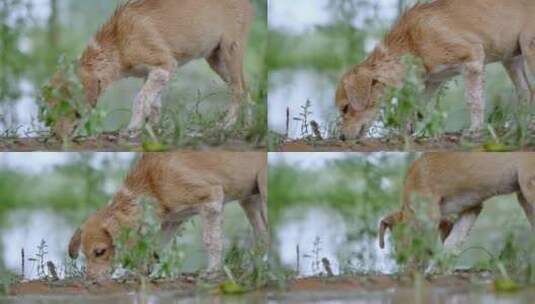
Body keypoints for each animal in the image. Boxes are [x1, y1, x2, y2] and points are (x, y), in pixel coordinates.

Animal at [67, 152, 268, 280]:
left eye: (99, 252)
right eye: (84, 254)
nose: (90, 280)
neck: (151, 184)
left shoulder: (211, 200)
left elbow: (211, 241)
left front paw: (212, 271)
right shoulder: (172, 220)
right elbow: (155, 248)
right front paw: (144, 272)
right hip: (249, 201)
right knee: (264, 237)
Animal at [76, 0, 256, 135]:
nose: (66, 137)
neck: (118, 43)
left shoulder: (166, 64)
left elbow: (140, 99)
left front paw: (133, 127)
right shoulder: (151, 73)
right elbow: (154, 104)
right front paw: (153, 130)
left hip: (230, 51)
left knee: (238, 89)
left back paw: (227, 125)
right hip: (216, 60)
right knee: (246, 87)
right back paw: (247, 126)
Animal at [338, 0, 535, 140]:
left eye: (345, 108)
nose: (341, 138)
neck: (411, 41)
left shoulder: (472, 59)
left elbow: (474, 99)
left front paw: (475, 129)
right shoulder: (434, 80)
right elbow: (416, 106)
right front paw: (408, 130)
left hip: (528, 48)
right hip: (511, 59)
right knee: (526, 91)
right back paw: (520, 125)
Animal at [378, 152, 535, 256]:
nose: (399, 255)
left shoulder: (429, 217)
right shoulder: (472, 207)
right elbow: (452, 241)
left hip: (528, 186)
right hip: (523, 196)